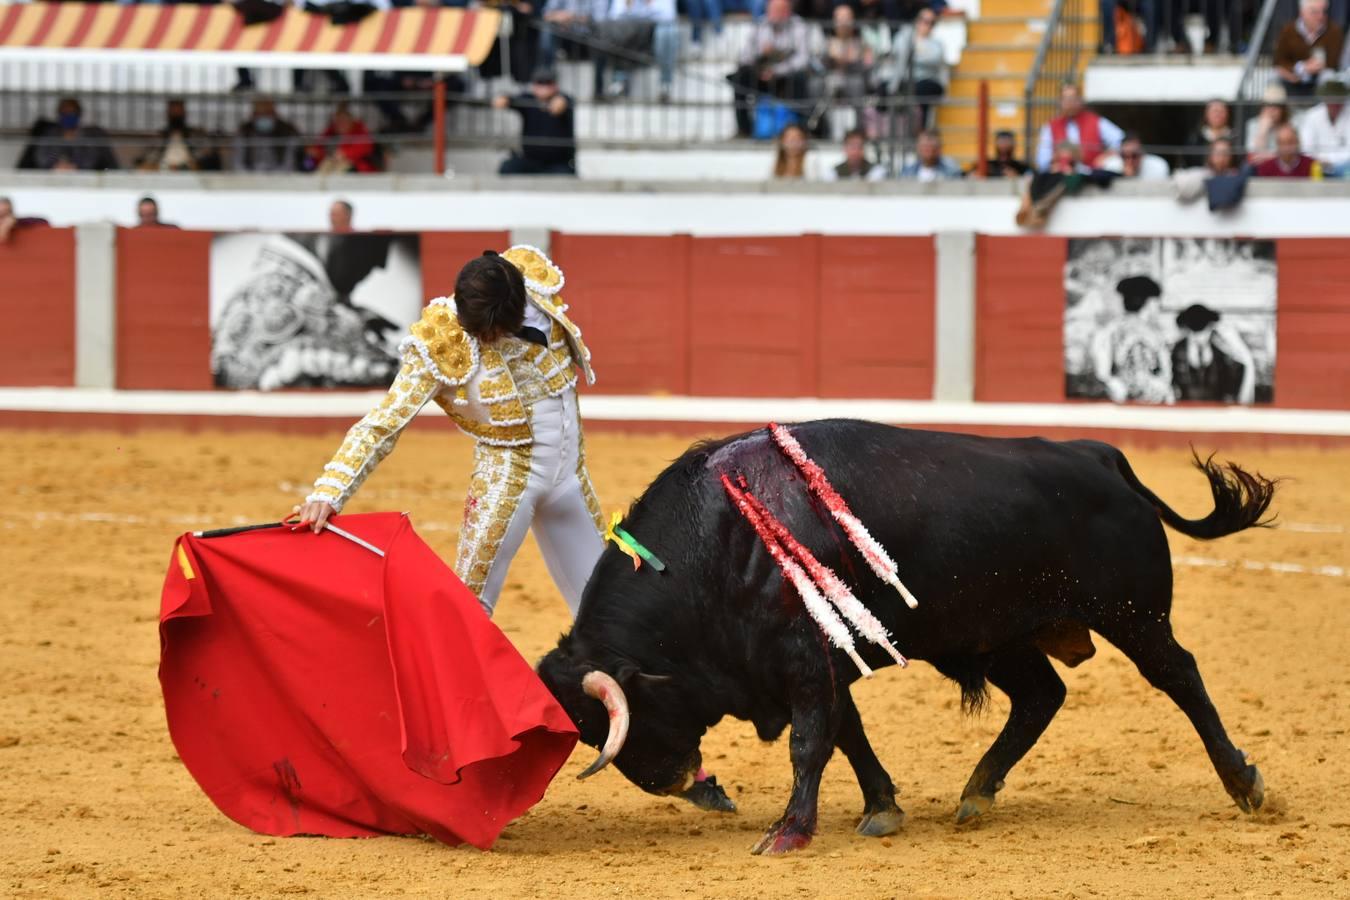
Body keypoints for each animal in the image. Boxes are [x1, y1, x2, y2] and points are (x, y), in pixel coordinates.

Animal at [531, 423, 1269, 858]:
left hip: (1132, 615)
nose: (672, 782)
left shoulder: (806, 660)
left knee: (1180, 677)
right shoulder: (827, 660)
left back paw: (1245, 785)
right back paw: (977, 792)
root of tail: (1099, 456)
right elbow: (848, 735)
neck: (720, 542)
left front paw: (788, 832)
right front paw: (881, 808)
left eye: (625, 718)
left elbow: (811, 743)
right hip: (998, 634)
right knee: (1041, 696)